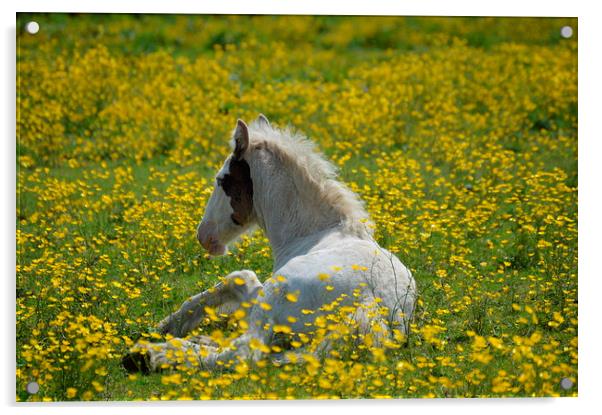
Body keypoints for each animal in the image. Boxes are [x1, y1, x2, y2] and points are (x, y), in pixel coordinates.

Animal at [122, 115, 412, 376]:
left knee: (243, 352)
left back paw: (148, 356)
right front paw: (168, 325)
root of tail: (370, 304)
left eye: (222, 180)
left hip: (274, 296)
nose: (204, 236)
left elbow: (238, 278)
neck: (314, 232)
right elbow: (239, 278)